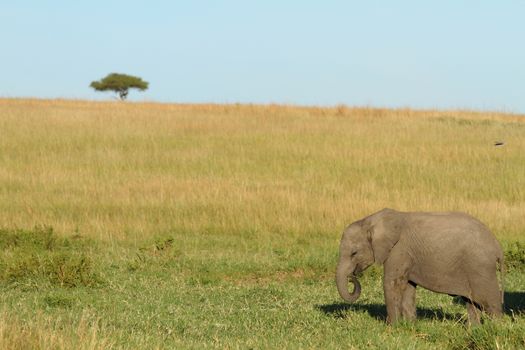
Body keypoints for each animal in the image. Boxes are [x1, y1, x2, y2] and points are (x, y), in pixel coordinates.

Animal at [336, 208, 504, 326]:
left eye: (354, 253)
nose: (352, 277)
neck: (370, 221)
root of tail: (497, 246)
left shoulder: (399, 249)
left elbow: (392, 283)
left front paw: (392, 328)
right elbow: (408, 287)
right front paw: (410, 325)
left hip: (480, 268)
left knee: (489, 302)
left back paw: (496, 329)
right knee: (472, 302)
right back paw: (474, 329)